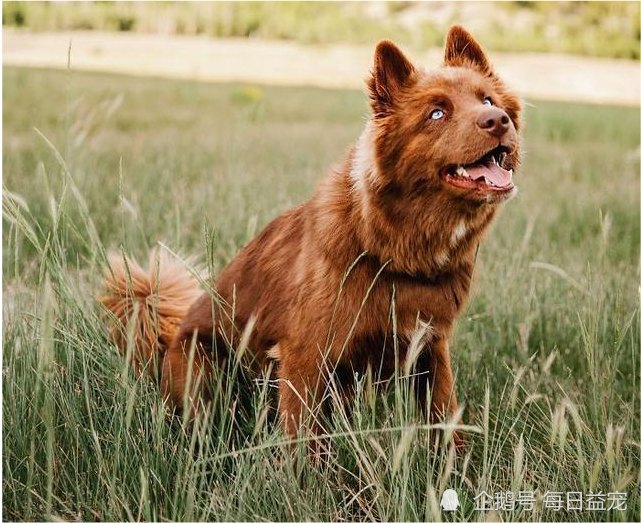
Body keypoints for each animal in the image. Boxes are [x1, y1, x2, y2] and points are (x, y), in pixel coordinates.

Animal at [101, 25, 520, 450]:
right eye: (436, 113)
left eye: (488, 100)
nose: (498, 120)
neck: (394, 247)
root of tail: (164, 346)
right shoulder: (305, 355)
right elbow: (305, 444)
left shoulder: (431, 348)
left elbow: (445, 419)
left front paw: (454, 466)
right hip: (204, 367)